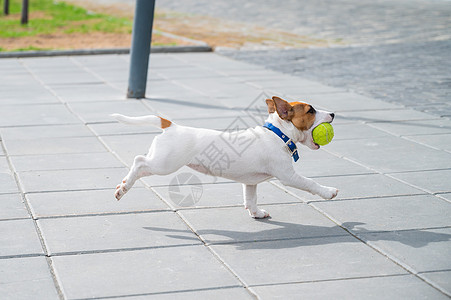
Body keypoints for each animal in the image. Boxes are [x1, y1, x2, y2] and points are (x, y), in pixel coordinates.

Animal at [112, 96, 340, 218]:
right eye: (311, 111)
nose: (333, 114)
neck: (277, 133)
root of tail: (171, 126)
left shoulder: (250, 182)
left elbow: (251, 198)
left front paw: (256, 213)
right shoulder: (288, 176)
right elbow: (310, 183)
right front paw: (329, 192)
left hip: (160, 161)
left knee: (140, 164)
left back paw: (123, 185)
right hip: (164, 164)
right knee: (139, 162)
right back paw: (124, 187)